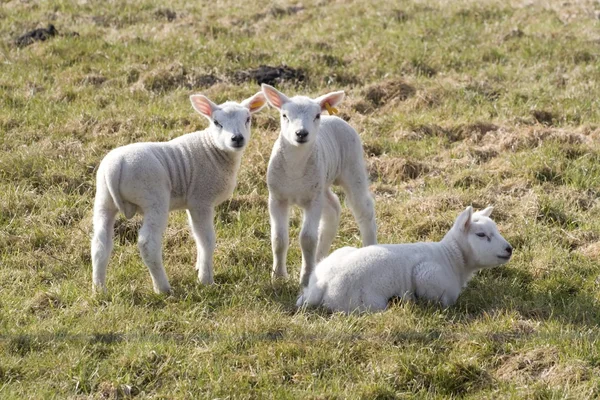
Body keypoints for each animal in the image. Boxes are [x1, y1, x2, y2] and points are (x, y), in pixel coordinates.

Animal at [91, 91, 264, 294]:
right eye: (216, 122)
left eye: (248, 119)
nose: (237, 138)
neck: (213, 149)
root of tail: (116, 168)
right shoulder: (201, 200)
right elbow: (206, 239)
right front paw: (205, 279)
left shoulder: (192, 203)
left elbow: (196, 235)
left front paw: (198, 266)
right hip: (154, 198)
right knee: (148, 243)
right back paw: (163, 289)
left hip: (104, 200)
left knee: (100, 243)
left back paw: (99, 289)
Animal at [262, 83, 378, 286]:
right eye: (284, 115)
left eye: (316, 116)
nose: (301, 133)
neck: (295, 167)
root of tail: (334, 117)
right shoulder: (277, 198)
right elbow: (278, 239)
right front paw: (278, 277)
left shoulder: (312, 201)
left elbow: (308, 239)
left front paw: (305, 279)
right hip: (321, 184)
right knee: (333, 209)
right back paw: (319, 260)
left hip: (353, 168)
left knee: (364, 209)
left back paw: (369, 249)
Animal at [298, 208, 512, 314]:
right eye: (481, 235)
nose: (509, 249)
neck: (452, 258)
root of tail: (321, 286)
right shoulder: (427, 275)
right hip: (368, 303)